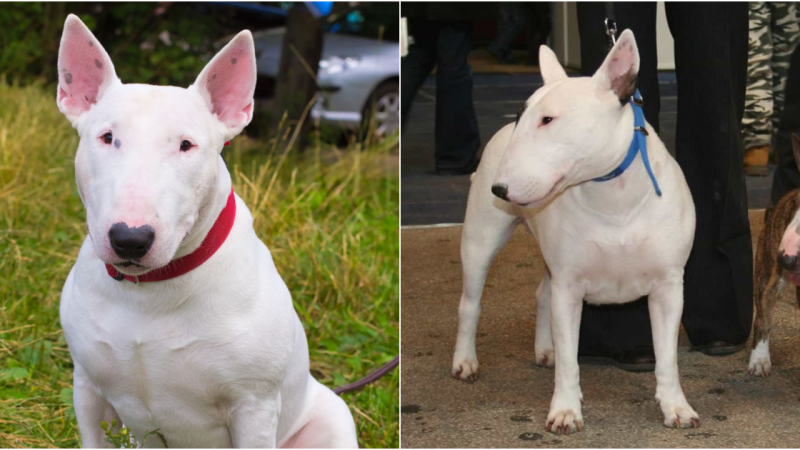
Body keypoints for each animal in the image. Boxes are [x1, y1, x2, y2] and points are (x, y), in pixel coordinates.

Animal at [56, 13, 356, 446]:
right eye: (108, 137)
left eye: (186, 145)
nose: (130, 239)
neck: (151, 292)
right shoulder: (89, 392)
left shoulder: (254, 408)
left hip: (330, 417)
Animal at [454, 30, 696, 432]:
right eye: (521, 116)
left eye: (548, 119)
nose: (499, 189)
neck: (613, 197)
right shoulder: (569, 287)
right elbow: (570, 360)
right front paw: (565, 411)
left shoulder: (668, 286)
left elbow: (667, 358)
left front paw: (676, 407)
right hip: (481, 240)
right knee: (470, 303)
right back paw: (465, 361)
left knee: (541, 293)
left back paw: (544, 349)